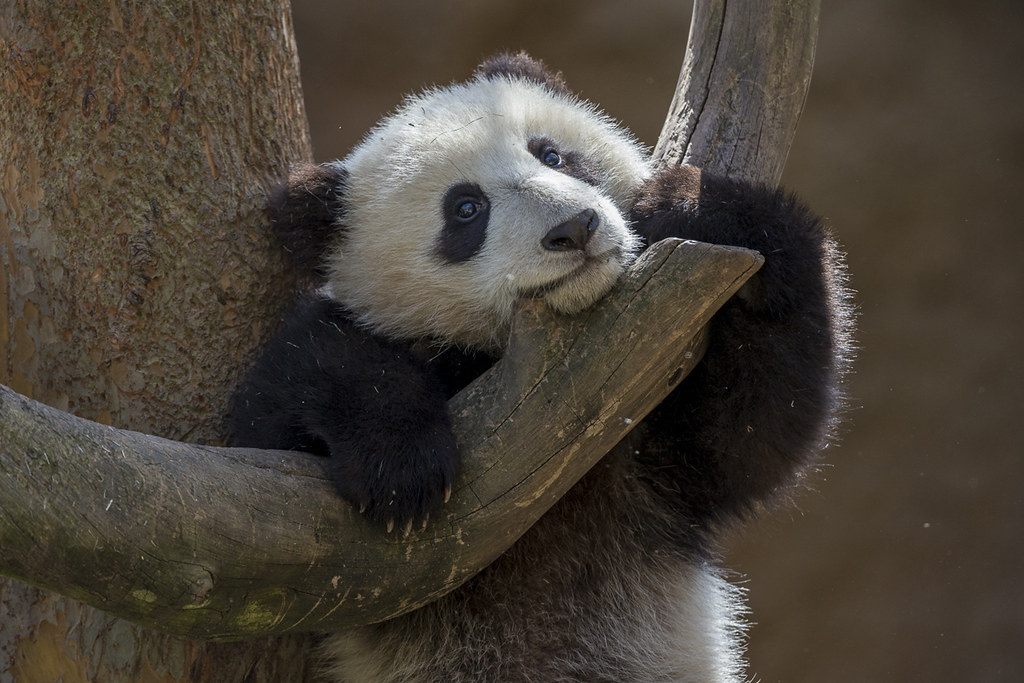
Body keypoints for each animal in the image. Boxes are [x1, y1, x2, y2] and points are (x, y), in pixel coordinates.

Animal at [229, 52, 851, 682]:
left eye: (551, 155)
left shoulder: (643, 430)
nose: (574, 228)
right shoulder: (316, 549)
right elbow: (283, 406)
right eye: (466, 210)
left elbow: (751, 439)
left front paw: (699, 206)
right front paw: (401, 469)